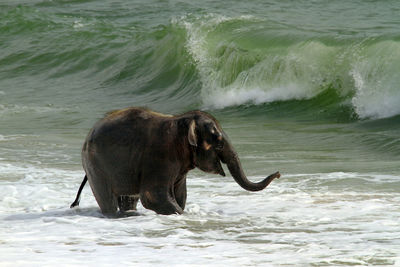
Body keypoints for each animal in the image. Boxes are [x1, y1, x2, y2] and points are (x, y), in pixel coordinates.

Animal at [70, 108, 280, 217]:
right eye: (218, 142)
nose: (278, 173)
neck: (182, 120)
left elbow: (180, 196)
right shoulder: (159, 158)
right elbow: (153, 197)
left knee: (128, 199)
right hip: (95, 166)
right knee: (108, 200)